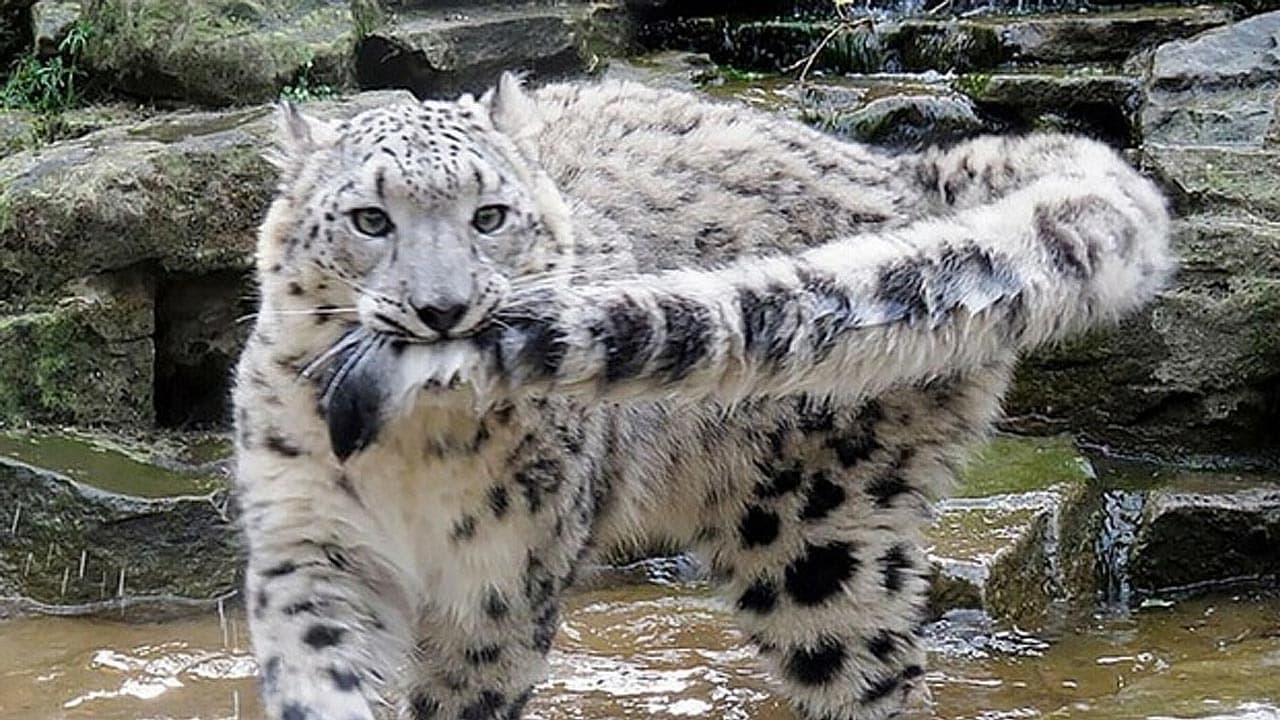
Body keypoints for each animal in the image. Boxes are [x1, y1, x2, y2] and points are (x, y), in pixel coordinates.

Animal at [235, 71, 1172, 717]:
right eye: (369, 219)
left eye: (489, 215)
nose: (442, 308)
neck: (412, 450)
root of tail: (905, 170)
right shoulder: (309, 533)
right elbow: (315, 657)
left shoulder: (502, 580)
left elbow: (466, 688)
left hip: (815, 529)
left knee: (870, 668)